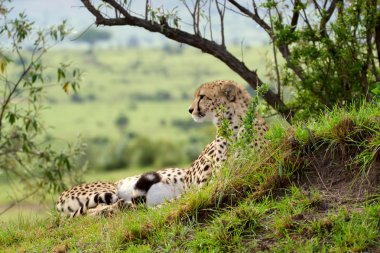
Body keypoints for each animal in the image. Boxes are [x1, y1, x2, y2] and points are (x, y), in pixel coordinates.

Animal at [56, 80, 268, 216]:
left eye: (202, 96)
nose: (190, 110)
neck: (233, 125)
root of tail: (59, 199)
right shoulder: (208, 181)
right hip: (109, 189)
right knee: (95, 210)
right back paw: (120, 208)